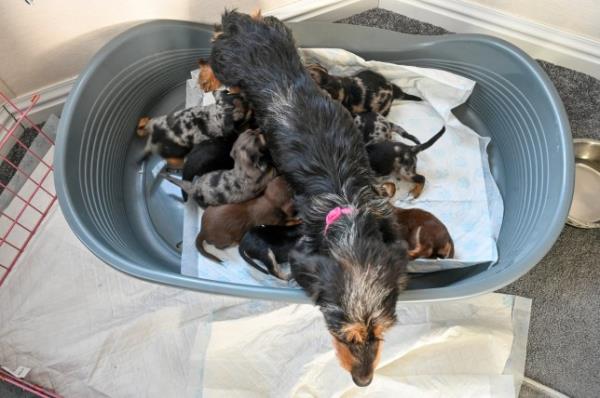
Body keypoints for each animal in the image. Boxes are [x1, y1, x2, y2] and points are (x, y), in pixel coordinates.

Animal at [210, 10, 408, 388]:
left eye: (380, 333)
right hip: (223, 60)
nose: (364, 382)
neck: (345, 202)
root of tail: (243, 23)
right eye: (343, 334)